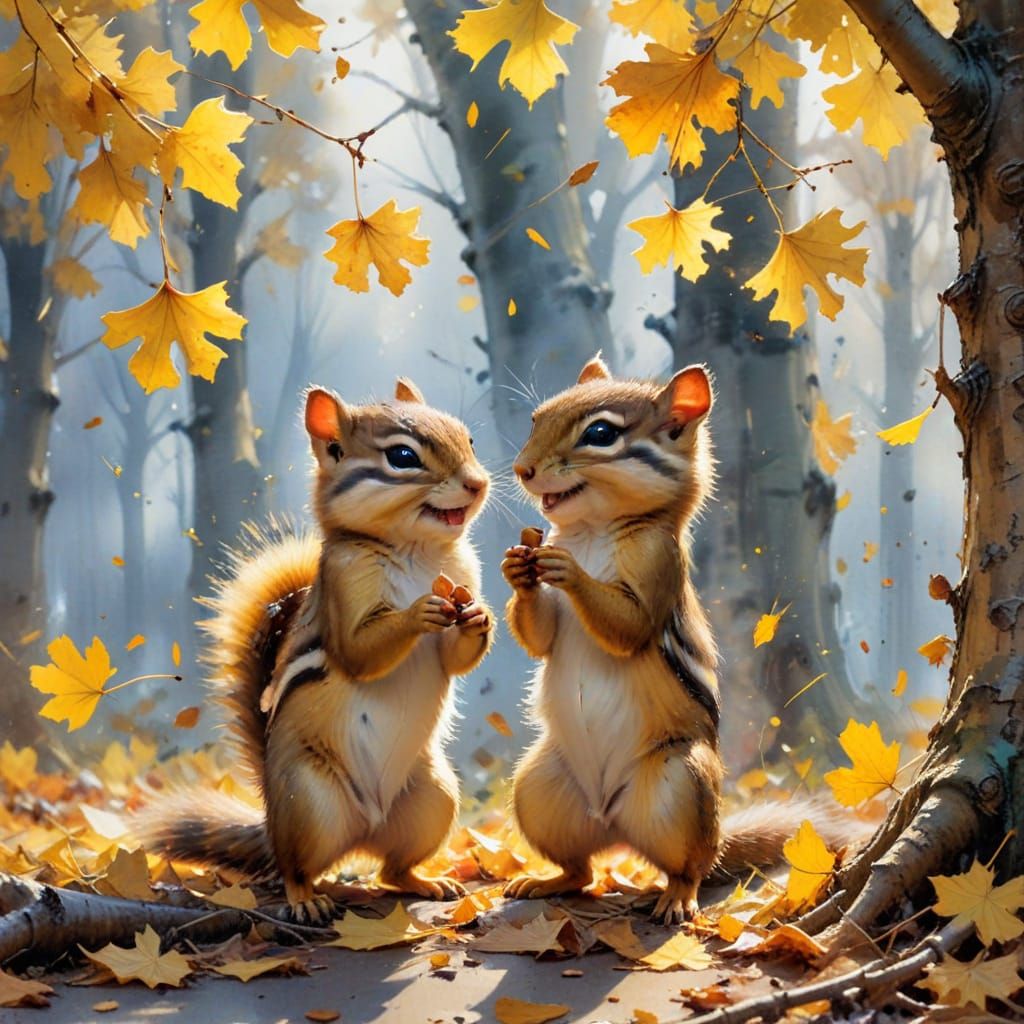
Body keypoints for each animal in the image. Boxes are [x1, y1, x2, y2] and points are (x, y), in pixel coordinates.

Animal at [137, 379, 493, 921]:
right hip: (309, 800)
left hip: (434, 799)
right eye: (402, 457)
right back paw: (306, 901)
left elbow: (456, 655)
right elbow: (360, 653)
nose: (477, 483)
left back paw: (427, 882)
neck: (419, 553)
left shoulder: (465, 575)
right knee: (295, 868)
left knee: (392, 870)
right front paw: (418, 613)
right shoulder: (344, 589)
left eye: (469, 440)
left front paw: (480, 618)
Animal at [501, 355, 849, 923]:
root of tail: (613, 823)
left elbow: (628, 625)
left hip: (681, 784)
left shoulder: (658, 564)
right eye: (536, 419)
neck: (591, 532)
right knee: (582, 871)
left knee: (688, 867)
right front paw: (518, 571)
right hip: (537, 787)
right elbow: (541, 636)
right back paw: (545, 881)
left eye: (600, 434)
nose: (522, 469)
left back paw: (675, 899)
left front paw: (568, 570)